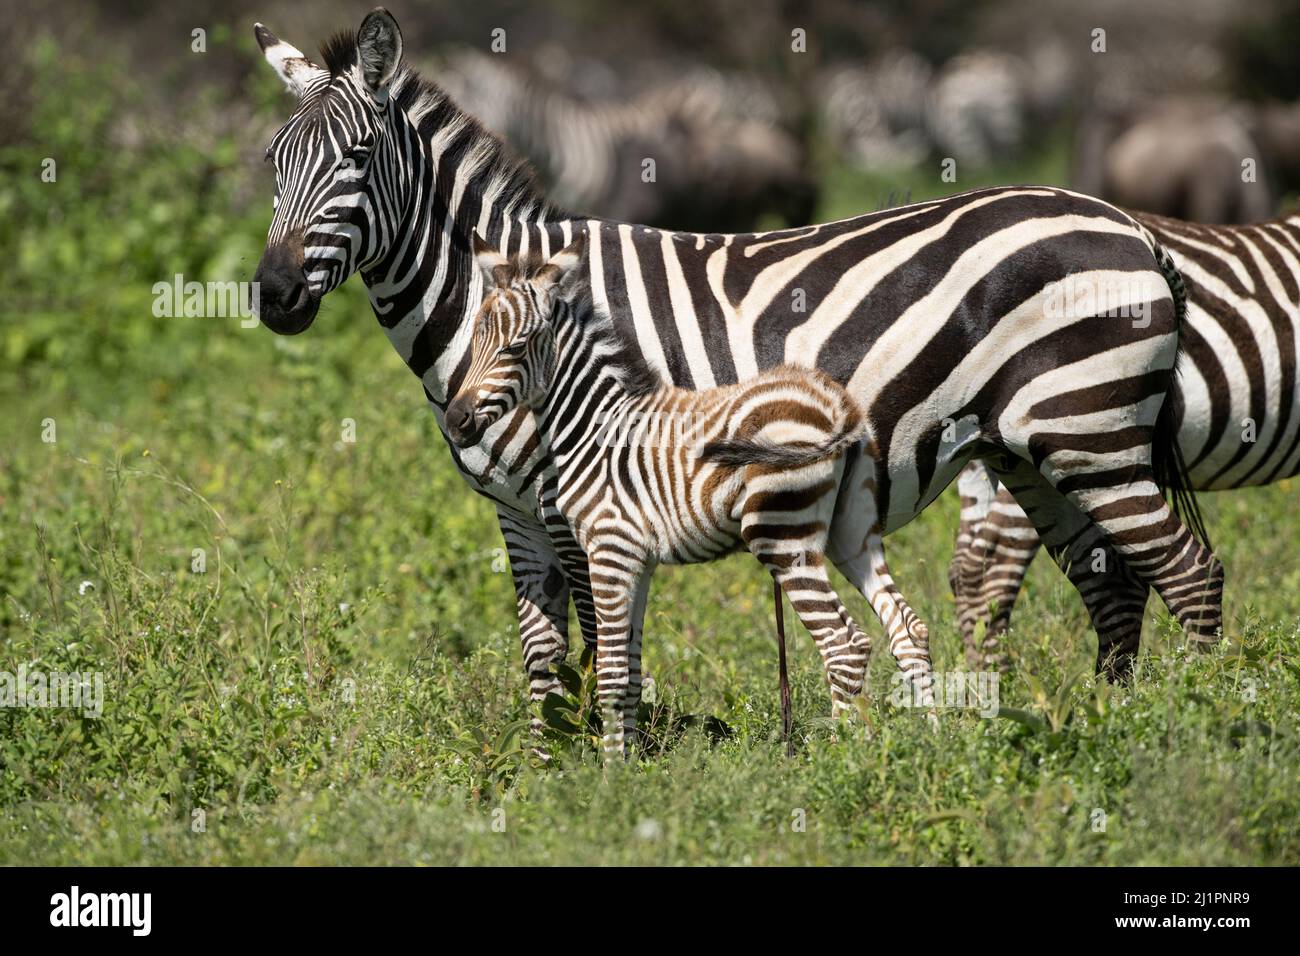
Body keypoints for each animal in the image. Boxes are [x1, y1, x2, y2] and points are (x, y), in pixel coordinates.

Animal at [449, 235, 935, 759]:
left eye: (515, 347)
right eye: (474, 341)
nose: (456, 419)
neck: (593, 425)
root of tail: (840, 406)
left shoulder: (609, 548)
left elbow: (611, 673)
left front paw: (607, 770)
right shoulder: (637, 559)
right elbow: (631, 672)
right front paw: (631, 763)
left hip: (782, 534)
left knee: (843, 644)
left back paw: (841, 758)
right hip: (852, 528)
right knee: (906, 626)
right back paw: (929, 738)